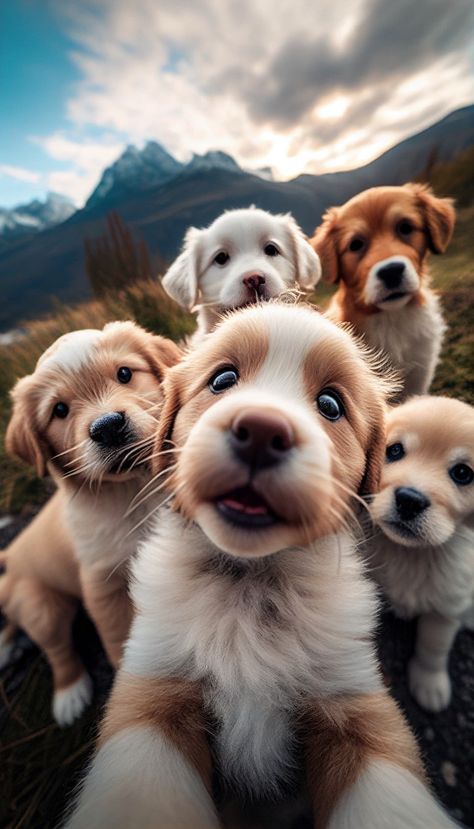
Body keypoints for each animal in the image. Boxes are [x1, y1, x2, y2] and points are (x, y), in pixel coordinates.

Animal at [0, 320, 181, 720]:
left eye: (125, 374)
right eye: (60, 410)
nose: (108, 425)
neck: (135, 489)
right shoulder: (103, 585)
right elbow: (118, 640)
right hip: (40, 606)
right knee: (57, 649)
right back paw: (69, 696)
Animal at [63, 304, 456, 828]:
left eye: (331, 405)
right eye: (223, 378)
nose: (263, 431)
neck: (248, 584)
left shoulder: (354, 704)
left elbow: (388, 798)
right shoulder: (151, 689)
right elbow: (142, 790)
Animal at [370, 396, 474, 712]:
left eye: (463, 473)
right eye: (394, 450)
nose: (409, 500)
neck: (410, 554)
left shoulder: (446, 607)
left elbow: (433, 647)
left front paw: (430, 684)